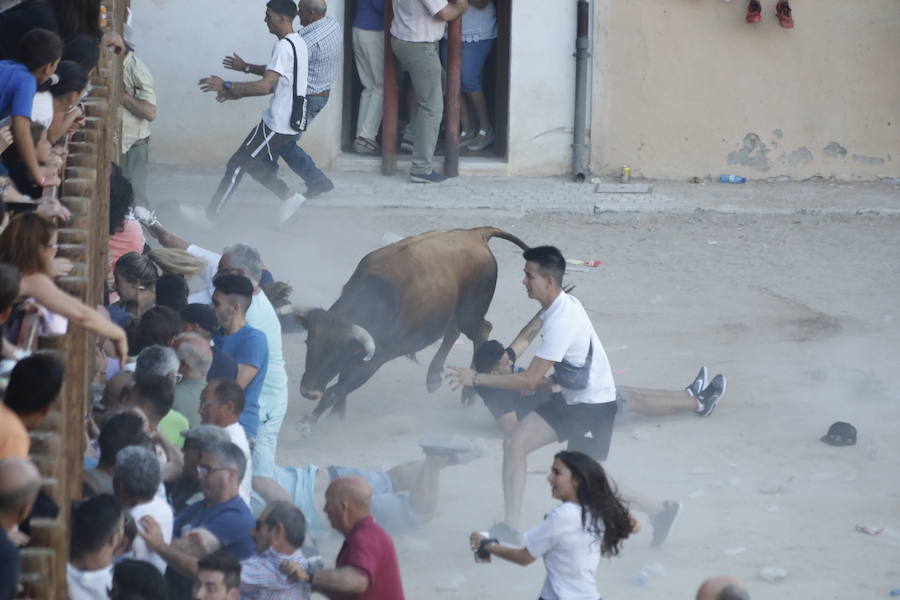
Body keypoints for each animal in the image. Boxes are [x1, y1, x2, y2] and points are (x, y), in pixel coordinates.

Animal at [276, 226, 528, 422]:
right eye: (309, 343)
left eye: (337, 354)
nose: (308, 391)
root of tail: (475, 234)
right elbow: (341, 386)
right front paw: (336, 416)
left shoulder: (373, 360)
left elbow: (336, 388)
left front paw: (309, 421)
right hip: (453, 311)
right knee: (453, 331)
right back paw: (433, 376)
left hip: (470, 313)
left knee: (482, 331)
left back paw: (468, 392)